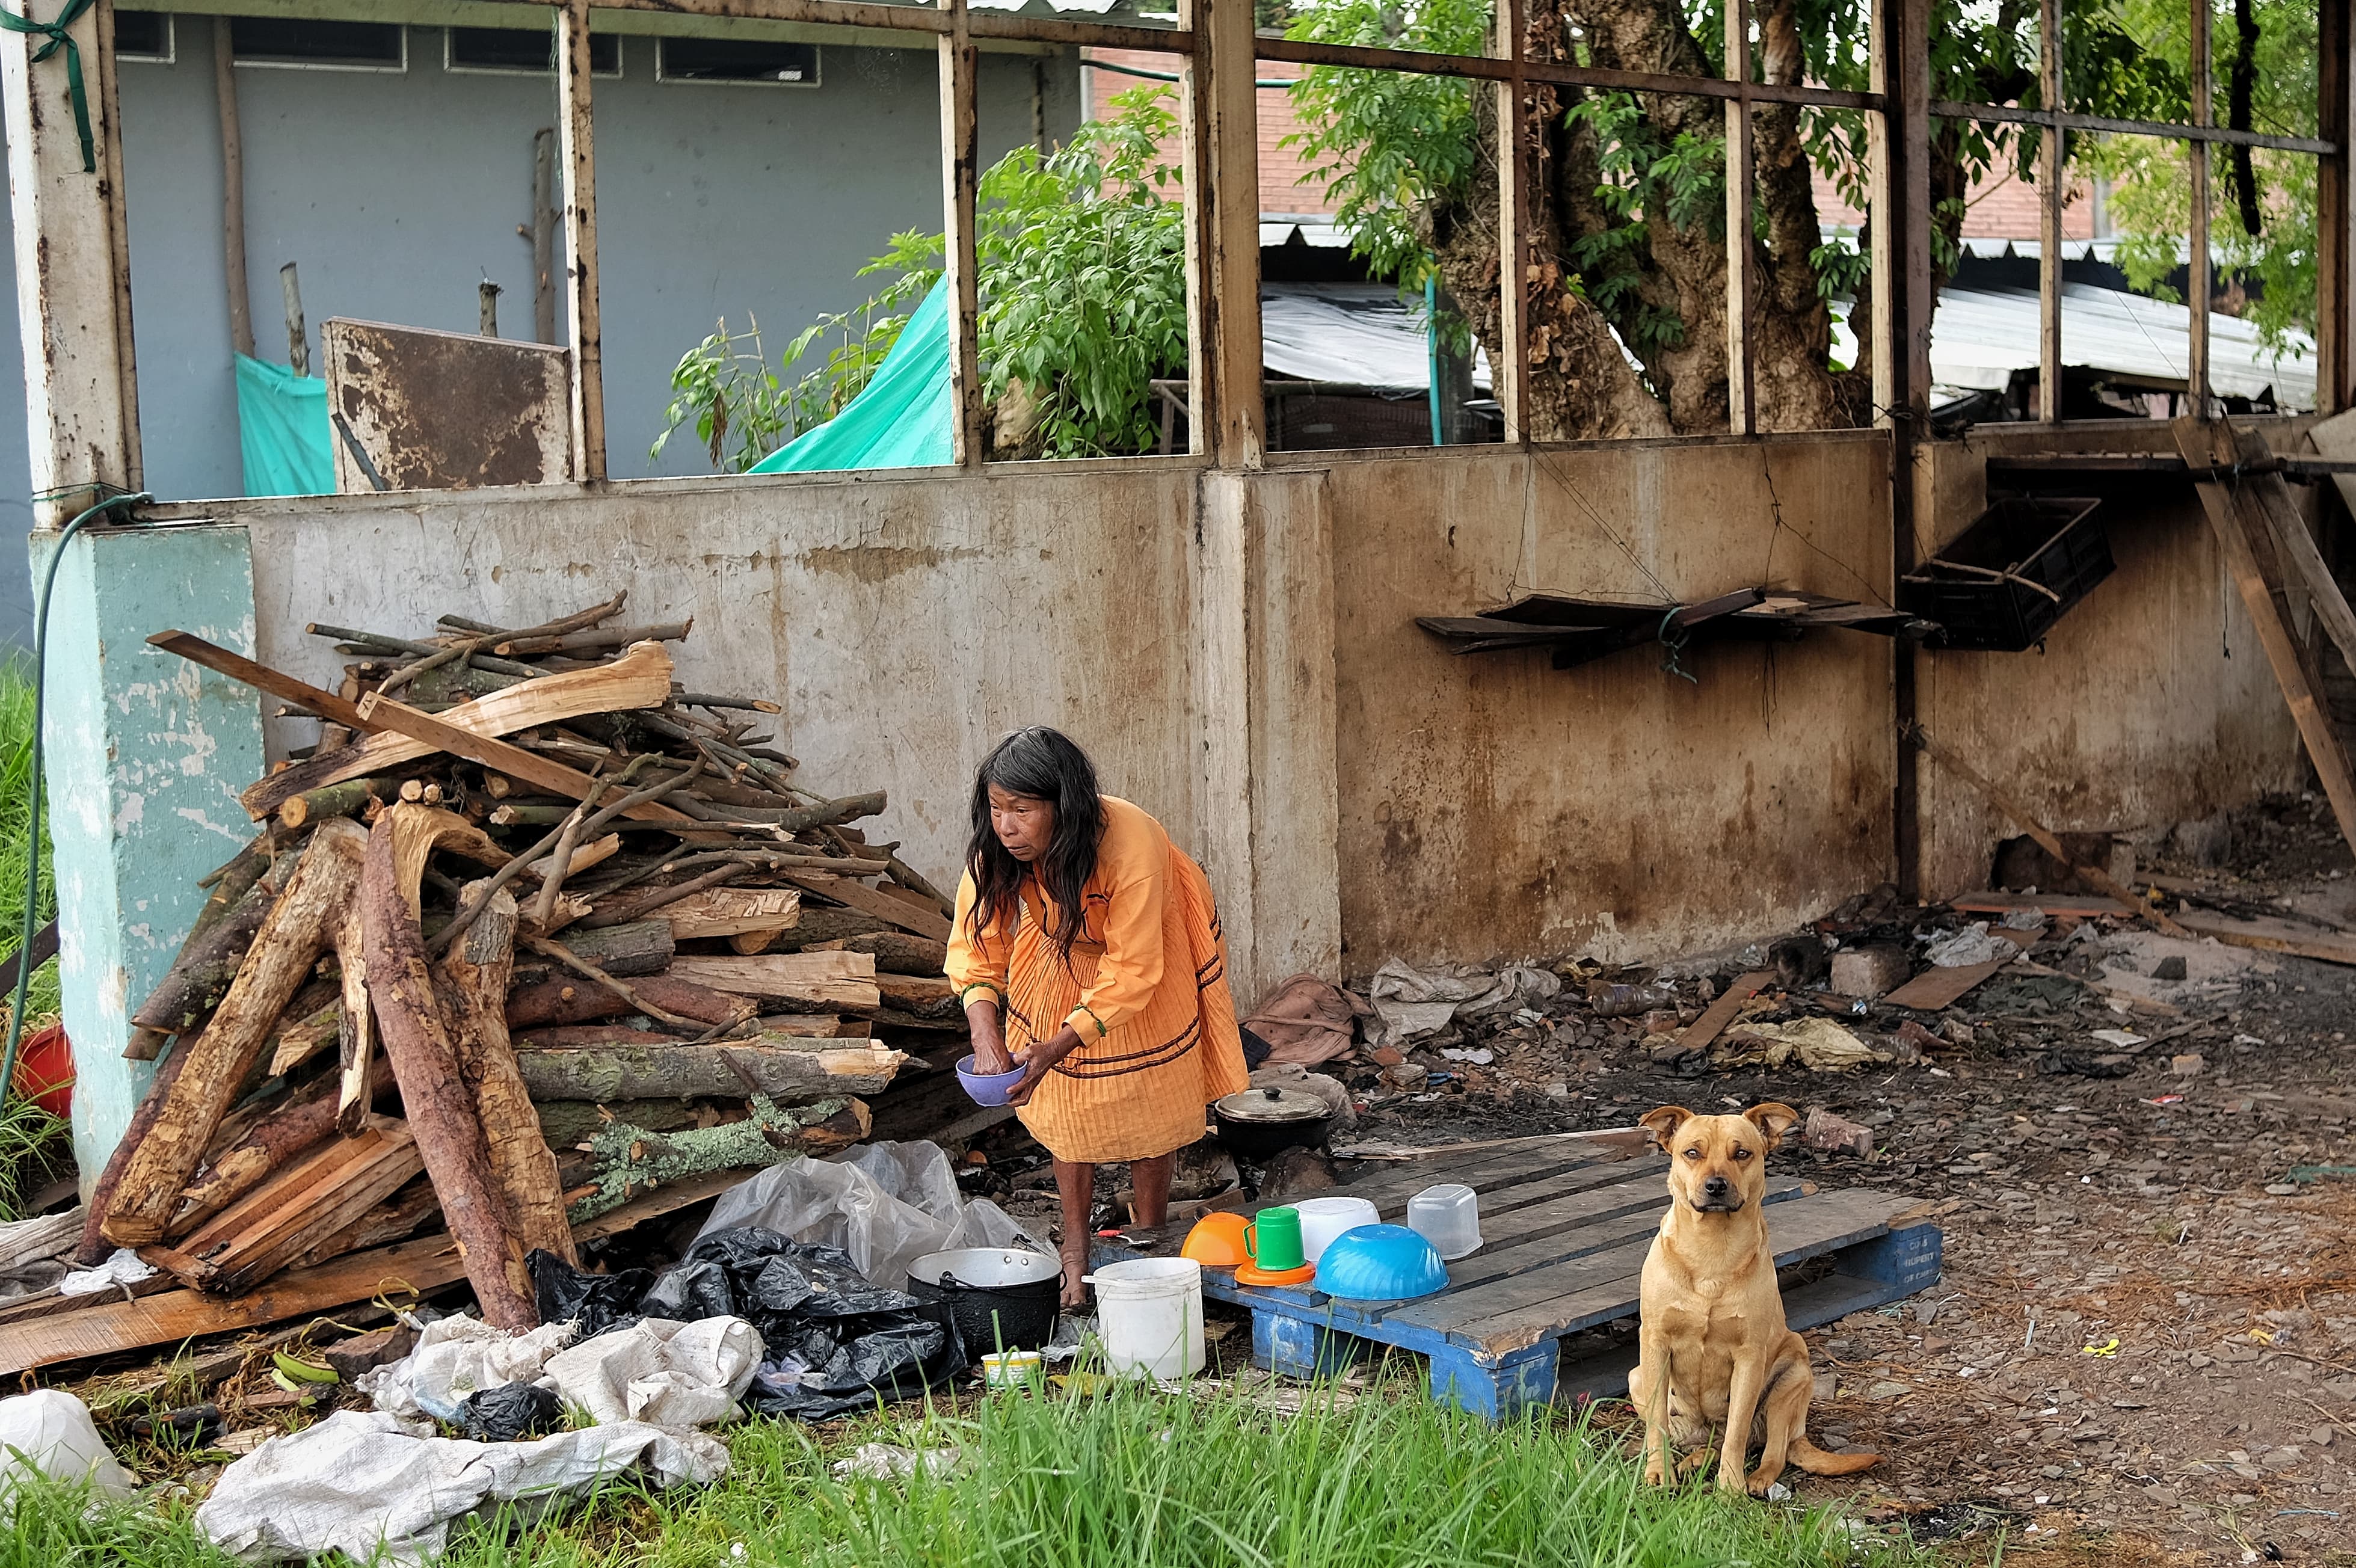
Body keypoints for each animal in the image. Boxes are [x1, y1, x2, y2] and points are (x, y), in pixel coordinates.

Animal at [1630, 1097, 1884, 1487]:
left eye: (1742, 1153)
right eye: (1692, 1152)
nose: (1716, 1186)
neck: (1712, 1252)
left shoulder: (1749, 1356)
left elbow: (1737, 1429)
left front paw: (1730, 1488)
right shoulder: (1655, 1341)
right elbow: (1658, 1424)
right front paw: (1659, 1474)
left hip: (1793, 1376)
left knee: (1771, 1449)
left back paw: (1756, 1478)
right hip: (1637, 1377)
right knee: (1699, 1437)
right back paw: (1693, 1460)